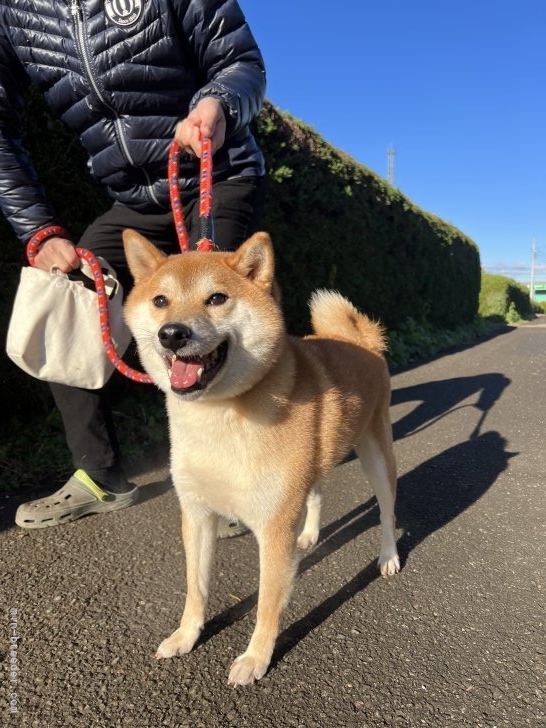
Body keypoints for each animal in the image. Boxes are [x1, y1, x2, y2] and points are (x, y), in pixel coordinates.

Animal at [121, 230, 398, 684]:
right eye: (160, 300)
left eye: (216, 298)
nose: (172, 333)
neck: (217, 417)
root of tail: (360, 341)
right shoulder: (197, 514)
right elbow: (195, 588)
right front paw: (186, 636)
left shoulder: (273, 528)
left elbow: (268, 603)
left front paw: (255, 658)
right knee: (317, 493)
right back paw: (310, 534)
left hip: (377, 456)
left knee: (387, 511)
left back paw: (389, 557)